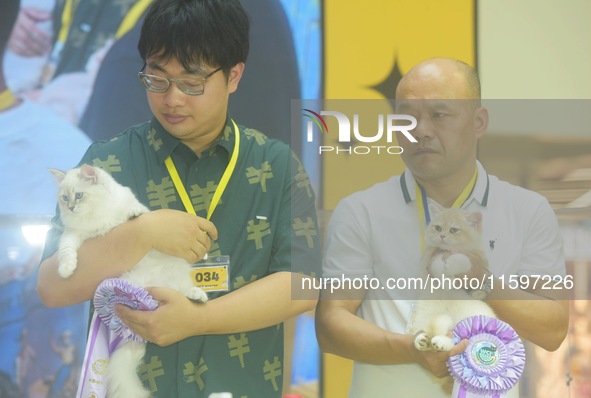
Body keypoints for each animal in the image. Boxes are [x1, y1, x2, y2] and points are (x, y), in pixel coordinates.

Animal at [51, 164, 208, 398]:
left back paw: (198, 296)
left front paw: (134, 215)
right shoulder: (73, 235)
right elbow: (66, 251)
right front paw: (66, 270)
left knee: (183, 291)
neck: (96, 215)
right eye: (64, 198)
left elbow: (135, 212)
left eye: (78, 195)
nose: (70, 207)